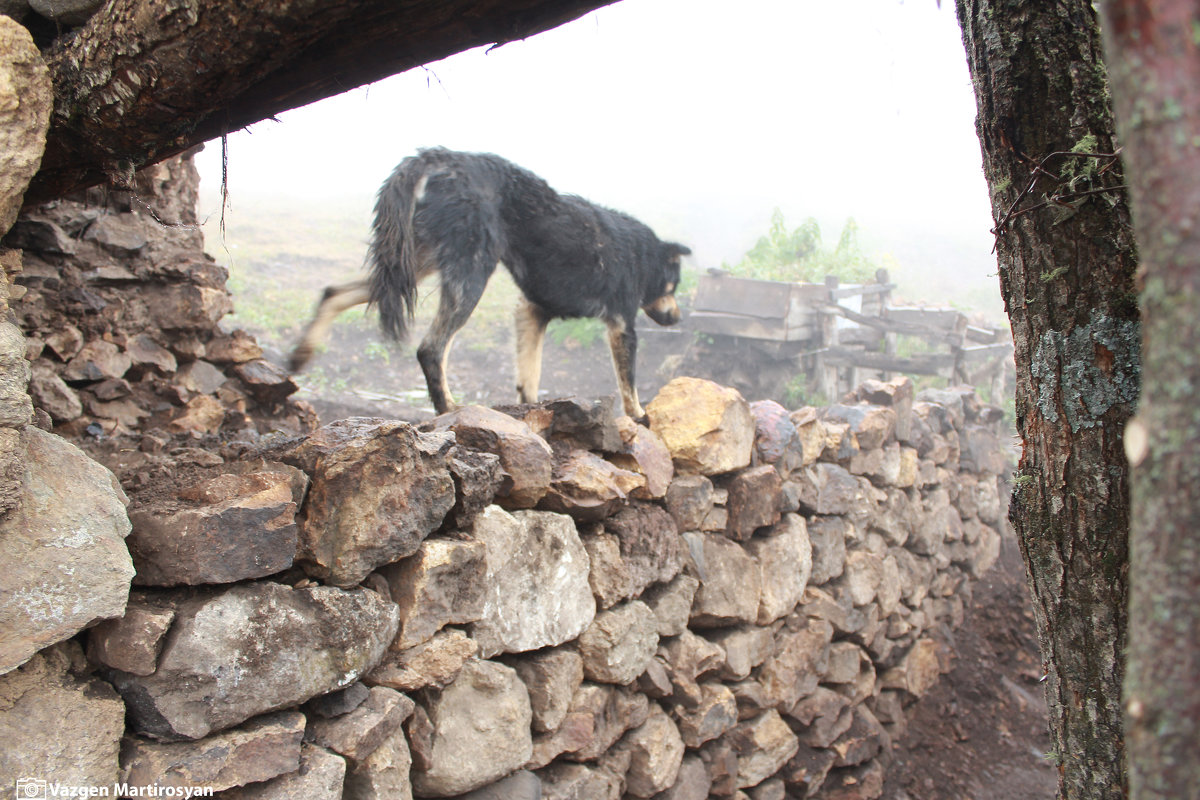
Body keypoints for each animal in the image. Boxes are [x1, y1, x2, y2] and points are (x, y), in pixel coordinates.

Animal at [284, 146, 691, 419]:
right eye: (674, 287)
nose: (677, 318)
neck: (641, 254)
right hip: (471, 272)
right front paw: (640, 417)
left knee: (335, 292)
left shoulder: (532, 310)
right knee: (430, 349)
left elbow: (529, 376)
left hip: (412, 262)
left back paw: (302, 353)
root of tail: (440, 156)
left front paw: (535, 412)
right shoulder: (622, 325)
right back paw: (448, 409)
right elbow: (629, 384)